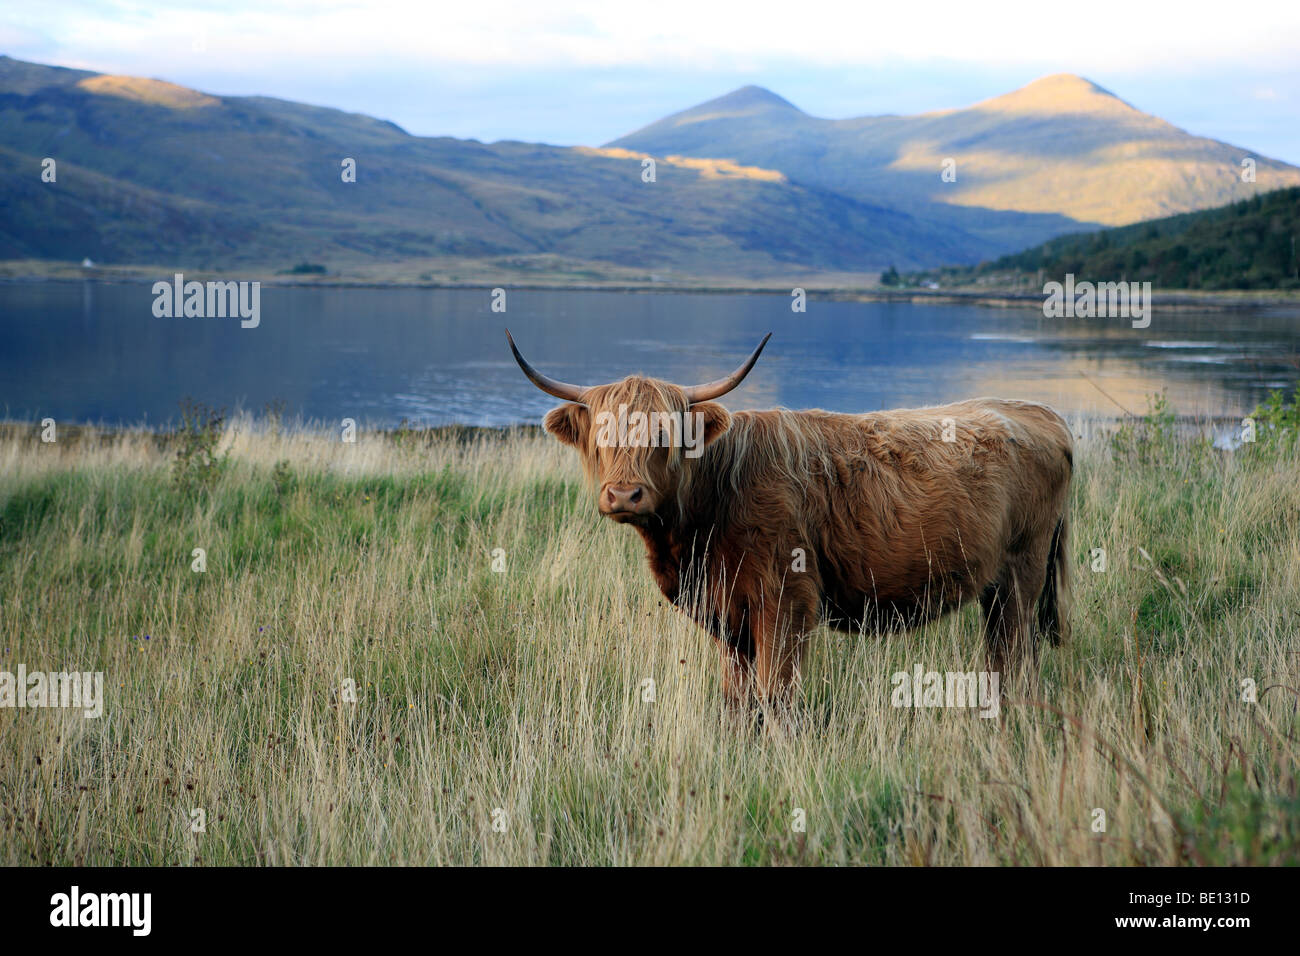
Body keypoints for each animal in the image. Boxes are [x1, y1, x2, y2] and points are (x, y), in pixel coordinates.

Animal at [508, 330, 1072, 709]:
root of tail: (1040, 412)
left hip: (1021, 575)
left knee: (1015, 656)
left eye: (666, 435)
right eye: (601, 436)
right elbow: (739, 697)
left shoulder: (786, 601)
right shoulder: (729, 616)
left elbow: (775, 694)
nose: (624, 495)